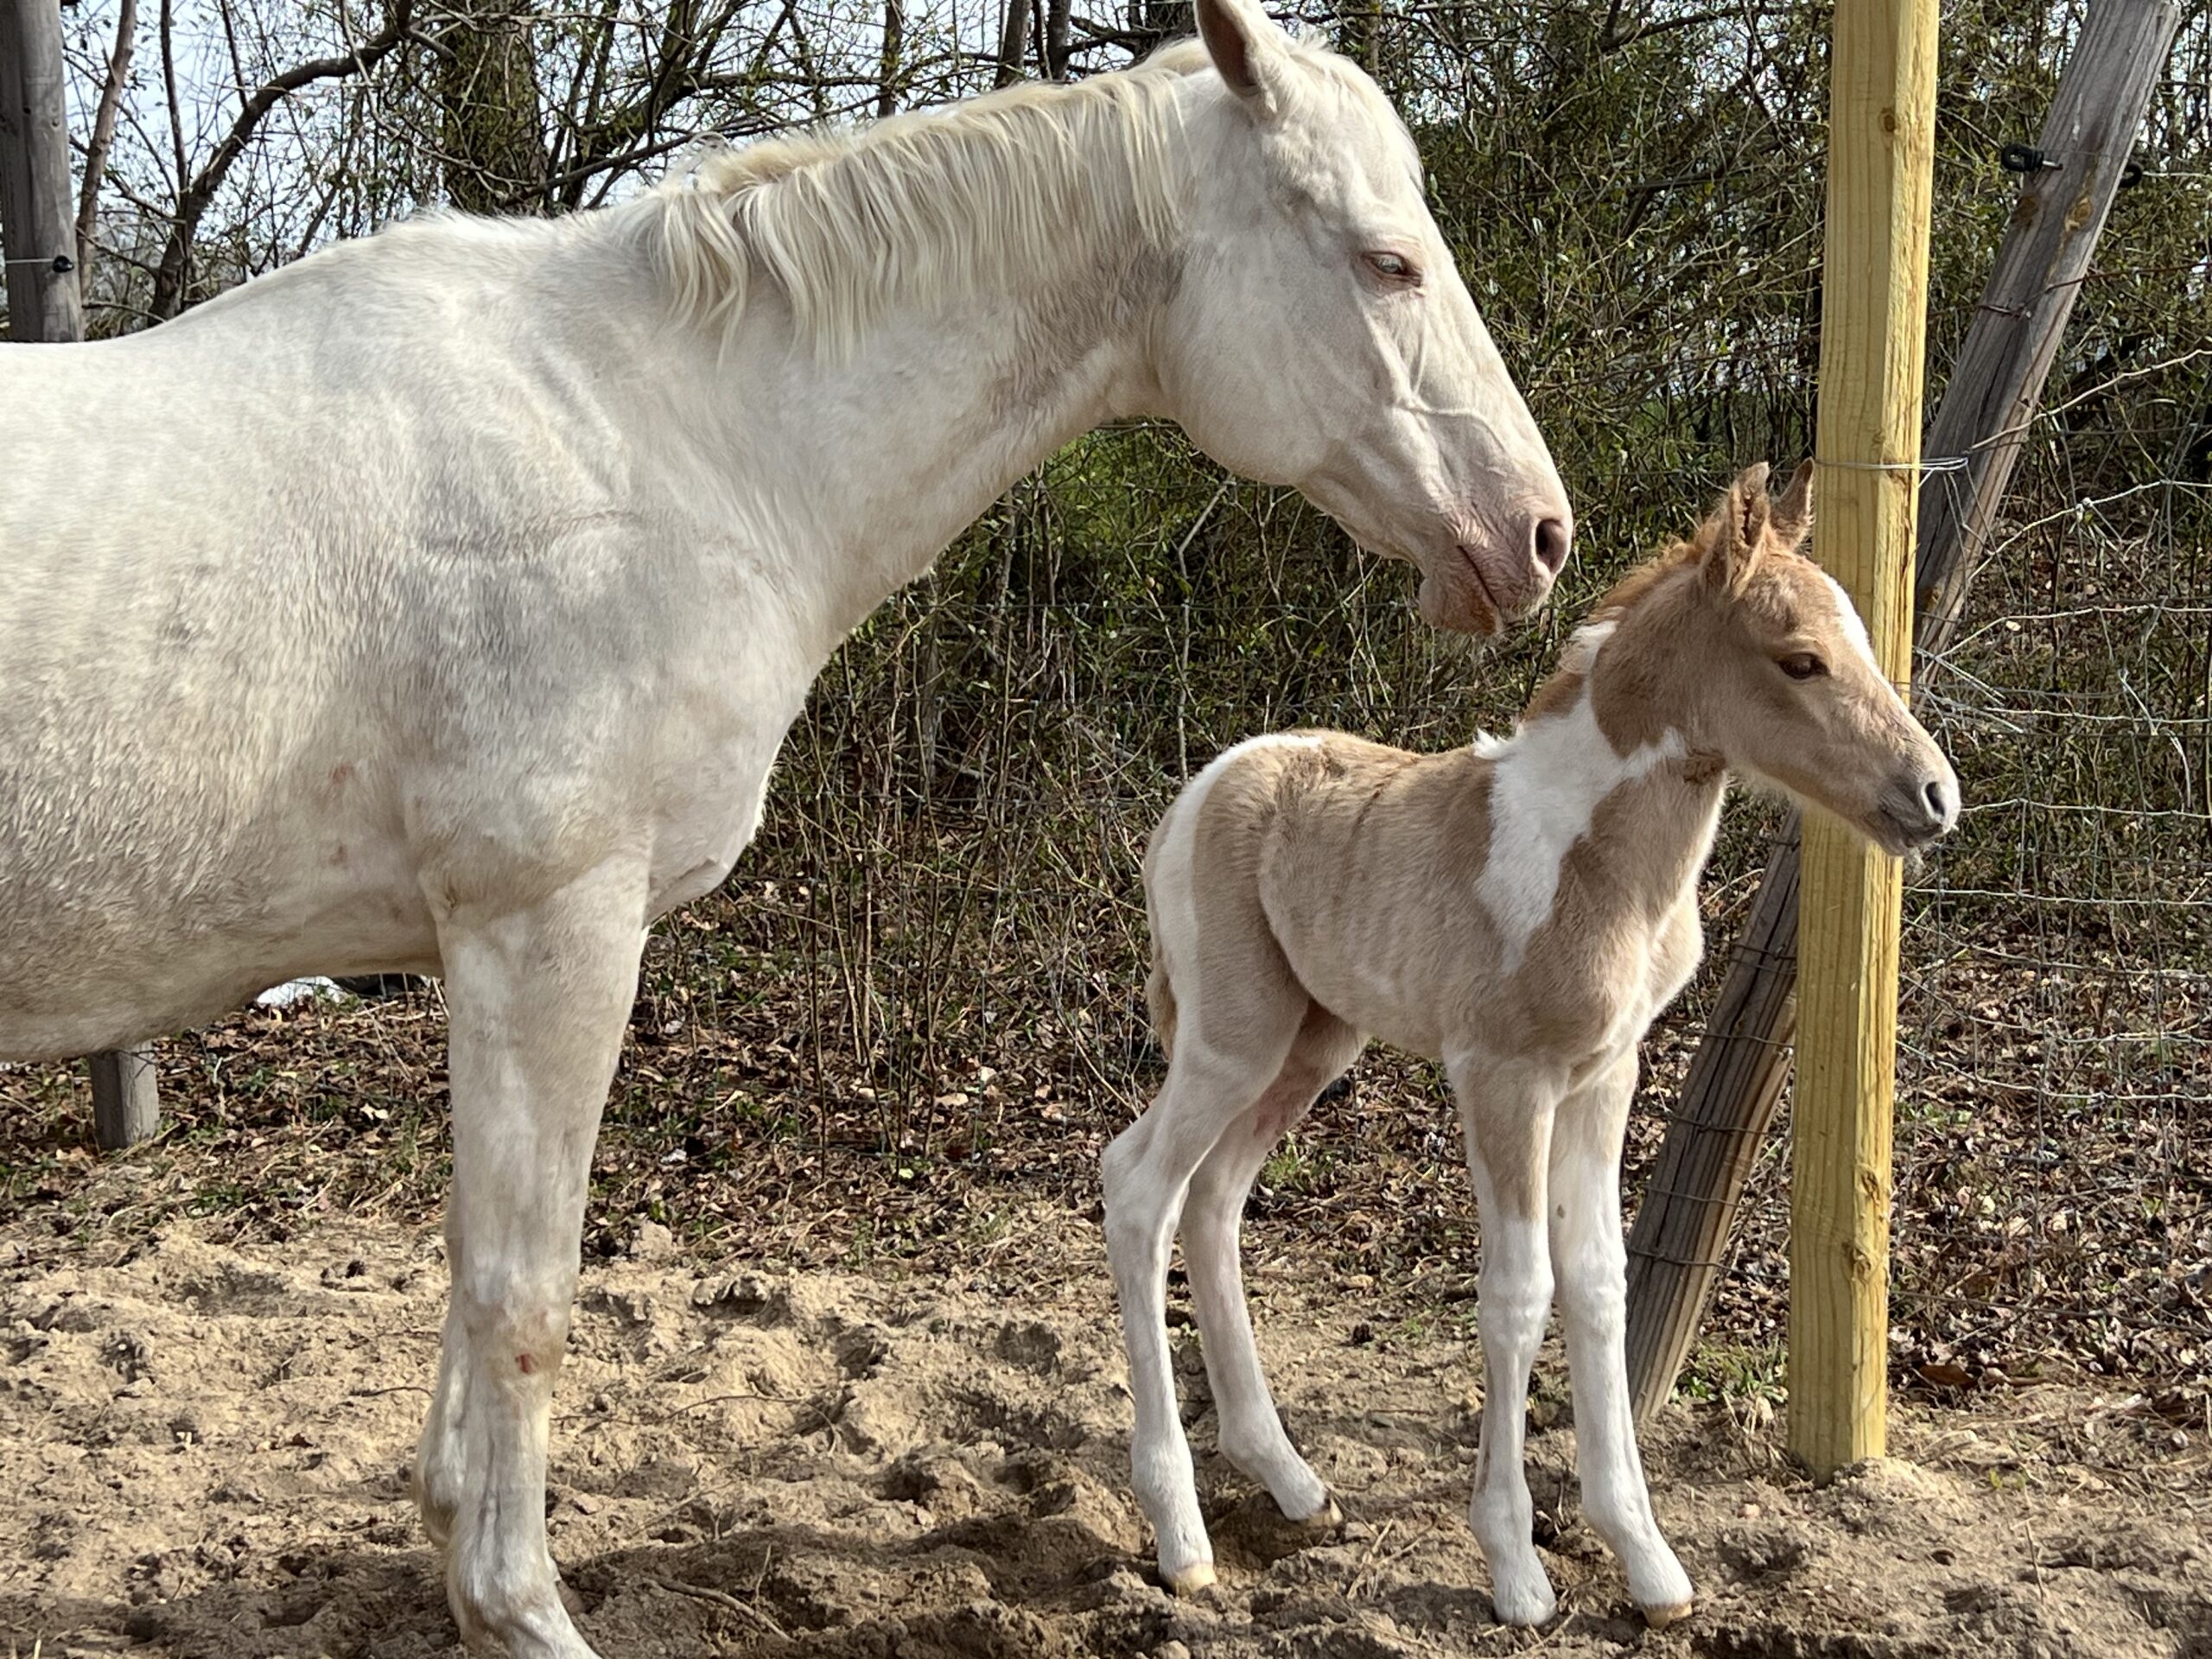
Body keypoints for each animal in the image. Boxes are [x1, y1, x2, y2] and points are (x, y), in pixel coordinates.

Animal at [0, 3, 1571, 1654]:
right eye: (1386, 260)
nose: (1538, 534)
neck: (664, 448)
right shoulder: (549, 932)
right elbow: (524, 1287)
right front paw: (519, 1605)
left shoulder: (485, 955)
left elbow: (476, 1268)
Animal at [1101, 462, 1958, 1626]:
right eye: (1799, 659)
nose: (1934, 797)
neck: (1594, 866)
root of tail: (1193, 796)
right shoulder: (1503, 1079)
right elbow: (1517, 1296)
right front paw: (1515, 1569)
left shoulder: (1603, 1078)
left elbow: (1598, 1283)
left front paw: (1647, 1563)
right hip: (1233, 1036)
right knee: (1139, 1186)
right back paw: (1182, 1535)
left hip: (1310, 1044)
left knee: (1215, 1198)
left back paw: (1289, 1481)